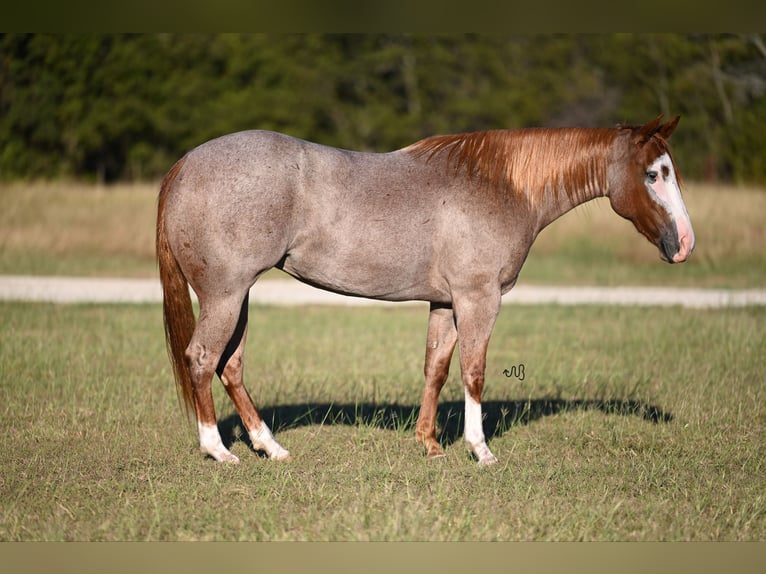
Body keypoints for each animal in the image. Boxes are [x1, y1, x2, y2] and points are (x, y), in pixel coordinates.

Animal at [156, 116, 696, 468]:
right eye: (654, 174)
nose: (685, 244)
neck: (502, 186)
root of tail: (185, 164)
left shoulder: (445, 302)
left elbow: (436, 367)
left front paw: (430, 444)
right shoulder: (479, 299)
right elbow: (473, 372)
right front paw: (480, 450)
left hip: (238, 296)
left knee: (230, 366)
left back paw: (270, 446)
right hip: (226, 295)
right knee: (203, 359)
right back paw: (218, 450)